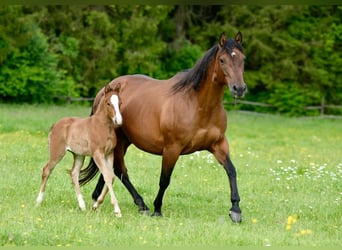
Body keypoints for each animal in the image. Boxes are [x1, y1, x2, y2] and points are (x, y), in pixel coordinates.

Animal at [35, 84, 123, 217]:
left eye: (120, 103)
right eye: (108, 103)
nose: (118, 120)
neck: (103, 126)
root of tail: (55, 124)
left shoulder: (109, 154)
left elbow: (111, 177)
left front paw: (96, 204)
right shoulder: (97, 154)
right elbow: (107, 176)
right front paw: (117, 210)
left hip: (78, 155)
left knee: (74, 174)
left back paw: (82, 206)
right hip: (57, 153)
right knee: (46, 170)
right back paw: (38, 201)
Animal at [79, 31, 246, 223]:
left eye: (243, 58)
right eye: (222, 60)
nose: (239, 88)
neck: (198, 105)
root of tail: (104, 91)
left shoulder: (218, 144)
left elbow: (232, 171)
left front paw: (235, 209)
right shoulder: (172, 149)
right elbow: (164, 180)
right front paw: (157, 209)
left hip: (123, 142)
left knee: (110, 169)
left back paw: (97, 199)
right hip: (120, 143)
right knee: (121, 171)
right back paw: (141, 204)